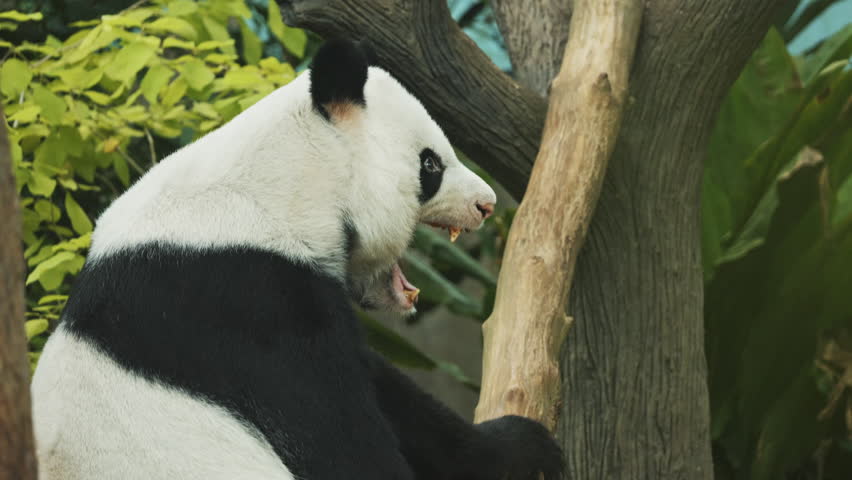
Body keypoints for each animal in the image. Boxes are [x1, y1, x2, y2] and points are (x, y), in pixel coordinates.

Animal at [30, 38, 564, 480]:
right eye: (430, 164)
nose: (486, 204)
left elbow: (396, 399)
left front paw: (520, 444)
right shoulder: (253, 303)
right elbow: (343, 447)